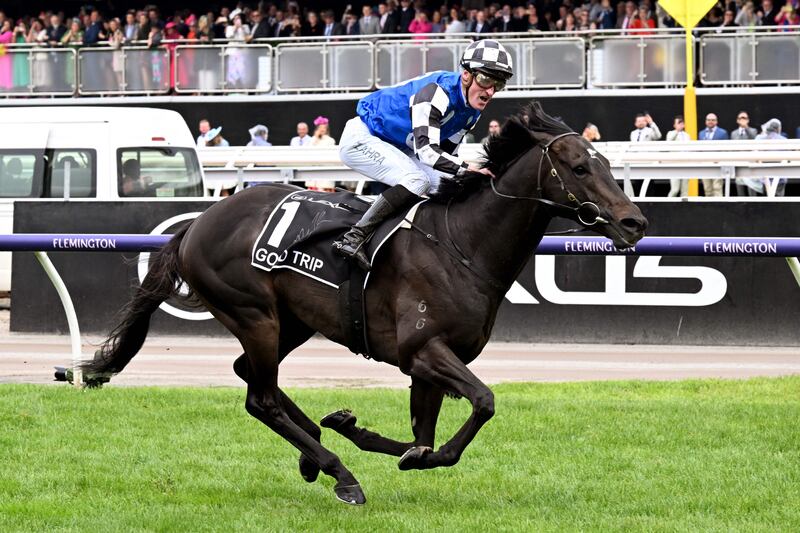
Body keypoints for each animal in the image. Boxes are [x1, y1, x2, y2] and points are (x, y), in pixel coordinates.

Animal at [83, 103, 644, 502]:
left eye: (606, 165)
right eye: (579, 168)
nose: (634, 222)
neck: (462, 245)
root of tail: (197, 223)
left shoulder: (430, 364)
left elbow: (423, 439)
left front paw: (354, 427)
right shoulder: (423, 350)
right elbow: (481, 404)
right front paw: (368, 444)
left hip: (292, 322)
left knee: (251, 376)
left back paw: (315, 448)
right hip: (254, 313)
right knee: (260, 397)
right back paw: (339, 473)